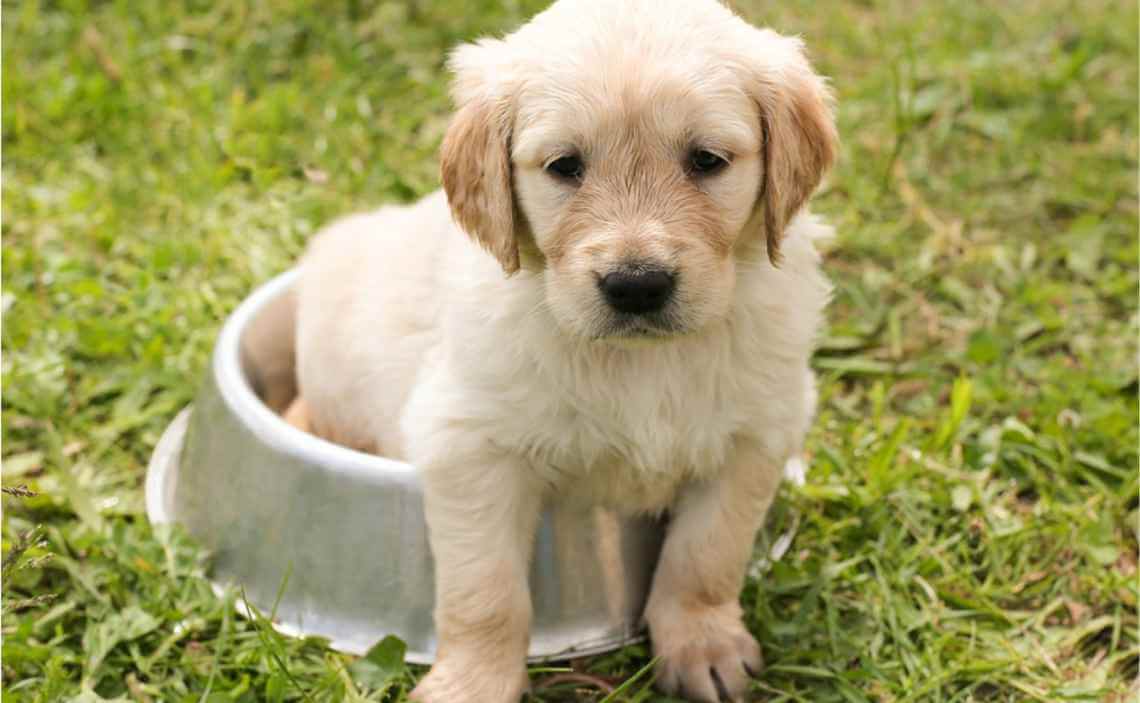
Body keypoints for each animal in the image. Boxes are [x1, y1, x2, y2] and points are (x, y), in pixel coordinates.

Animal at [294, 0, 839, 697]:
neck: (642, 361)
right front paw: (472, 683)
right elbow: (486, 591)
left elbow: (705, 556)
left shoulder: (755, 434)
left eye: (707, 160)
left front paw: (703, 645)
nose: (637, 285)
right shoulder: (469, 446)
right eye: (564, 167)